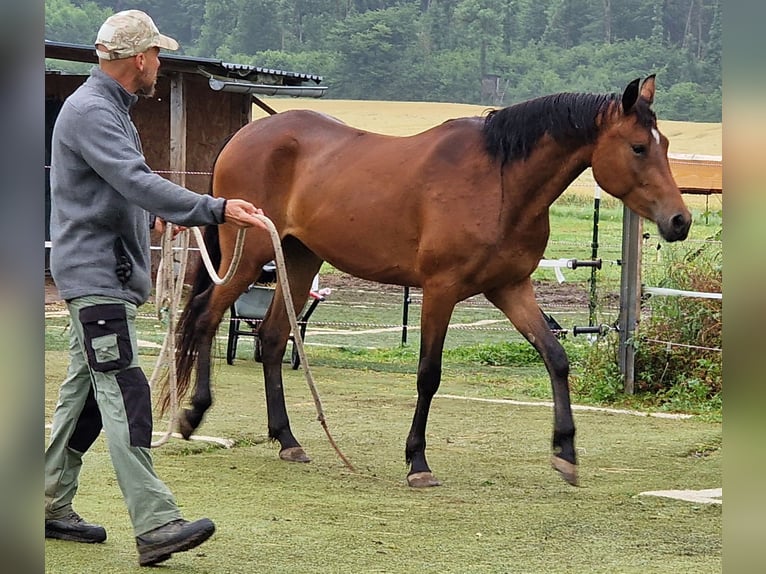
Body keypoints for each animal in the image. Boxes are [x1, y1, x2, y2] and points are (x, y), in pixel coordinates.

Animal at [171, 75, 692, 490]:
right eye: (638, 147)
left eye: (666, 145)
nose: (680, 221)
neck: (500, 182)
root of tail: (243, 137)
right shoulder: (441, 290)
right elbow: (428, 374)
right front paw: (417, 461)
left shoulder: (512, 288)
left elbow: (556, 358)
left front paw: (565, 453)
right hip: (249, 256)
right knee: (206, 317)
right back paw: (193, 414)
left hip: (298, 260)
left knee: (274, 338)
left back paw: (287, 439)